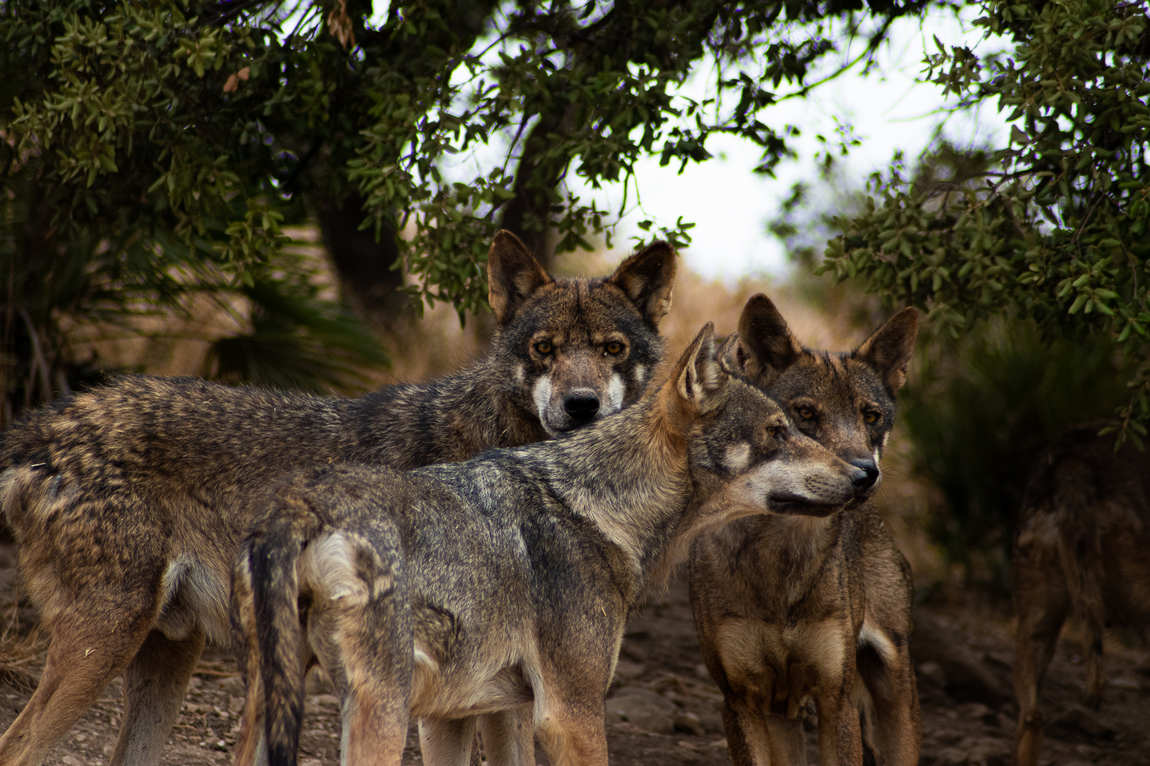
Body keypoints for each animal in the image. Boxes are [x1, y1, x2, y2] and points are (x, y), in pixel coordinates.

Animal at [0, 229, 676, 766]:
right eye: (545, 349)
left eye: (612, 349)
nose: (582, 405)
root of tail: (44, 425)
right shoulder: (460, 698)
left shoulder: (503, 692)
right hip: (106, 645)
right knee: (19, 746)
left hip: (170, 657)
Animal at [228, 322, 874, 766]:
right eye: (780, 431)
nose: (863, 475)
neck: (604, 508)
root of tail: (300, 504)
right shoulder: (570, 713)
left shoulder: (458, 715)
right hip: (377, 714)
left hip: (271, 704)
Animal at [688, 294, 921, 766]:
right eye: (805, 413)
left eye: (871, 416)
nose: (864, 474)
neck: (781, 562)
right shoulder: (740, 701)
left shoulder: (837, 699)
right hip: (784, 715)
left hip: (894, 699)